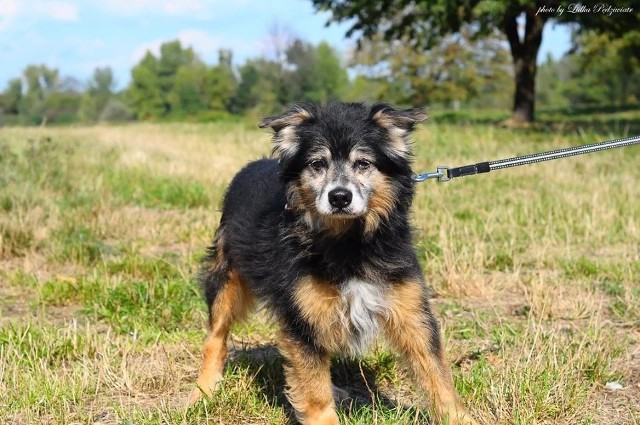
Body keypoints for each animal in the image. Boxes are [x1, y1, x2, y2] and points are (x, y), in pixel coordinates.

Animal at [189, 102, 476, 424]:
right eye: (317, 164)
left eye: (363, 163)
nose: (339, 196)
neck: (348, 242)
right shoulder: (302, 317)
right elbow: (314, 390)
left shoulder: (411, 310)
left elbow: (437, 373)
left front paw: (460, 418)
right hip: (226, 277)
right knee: (216, 338)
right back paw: (202, 392)